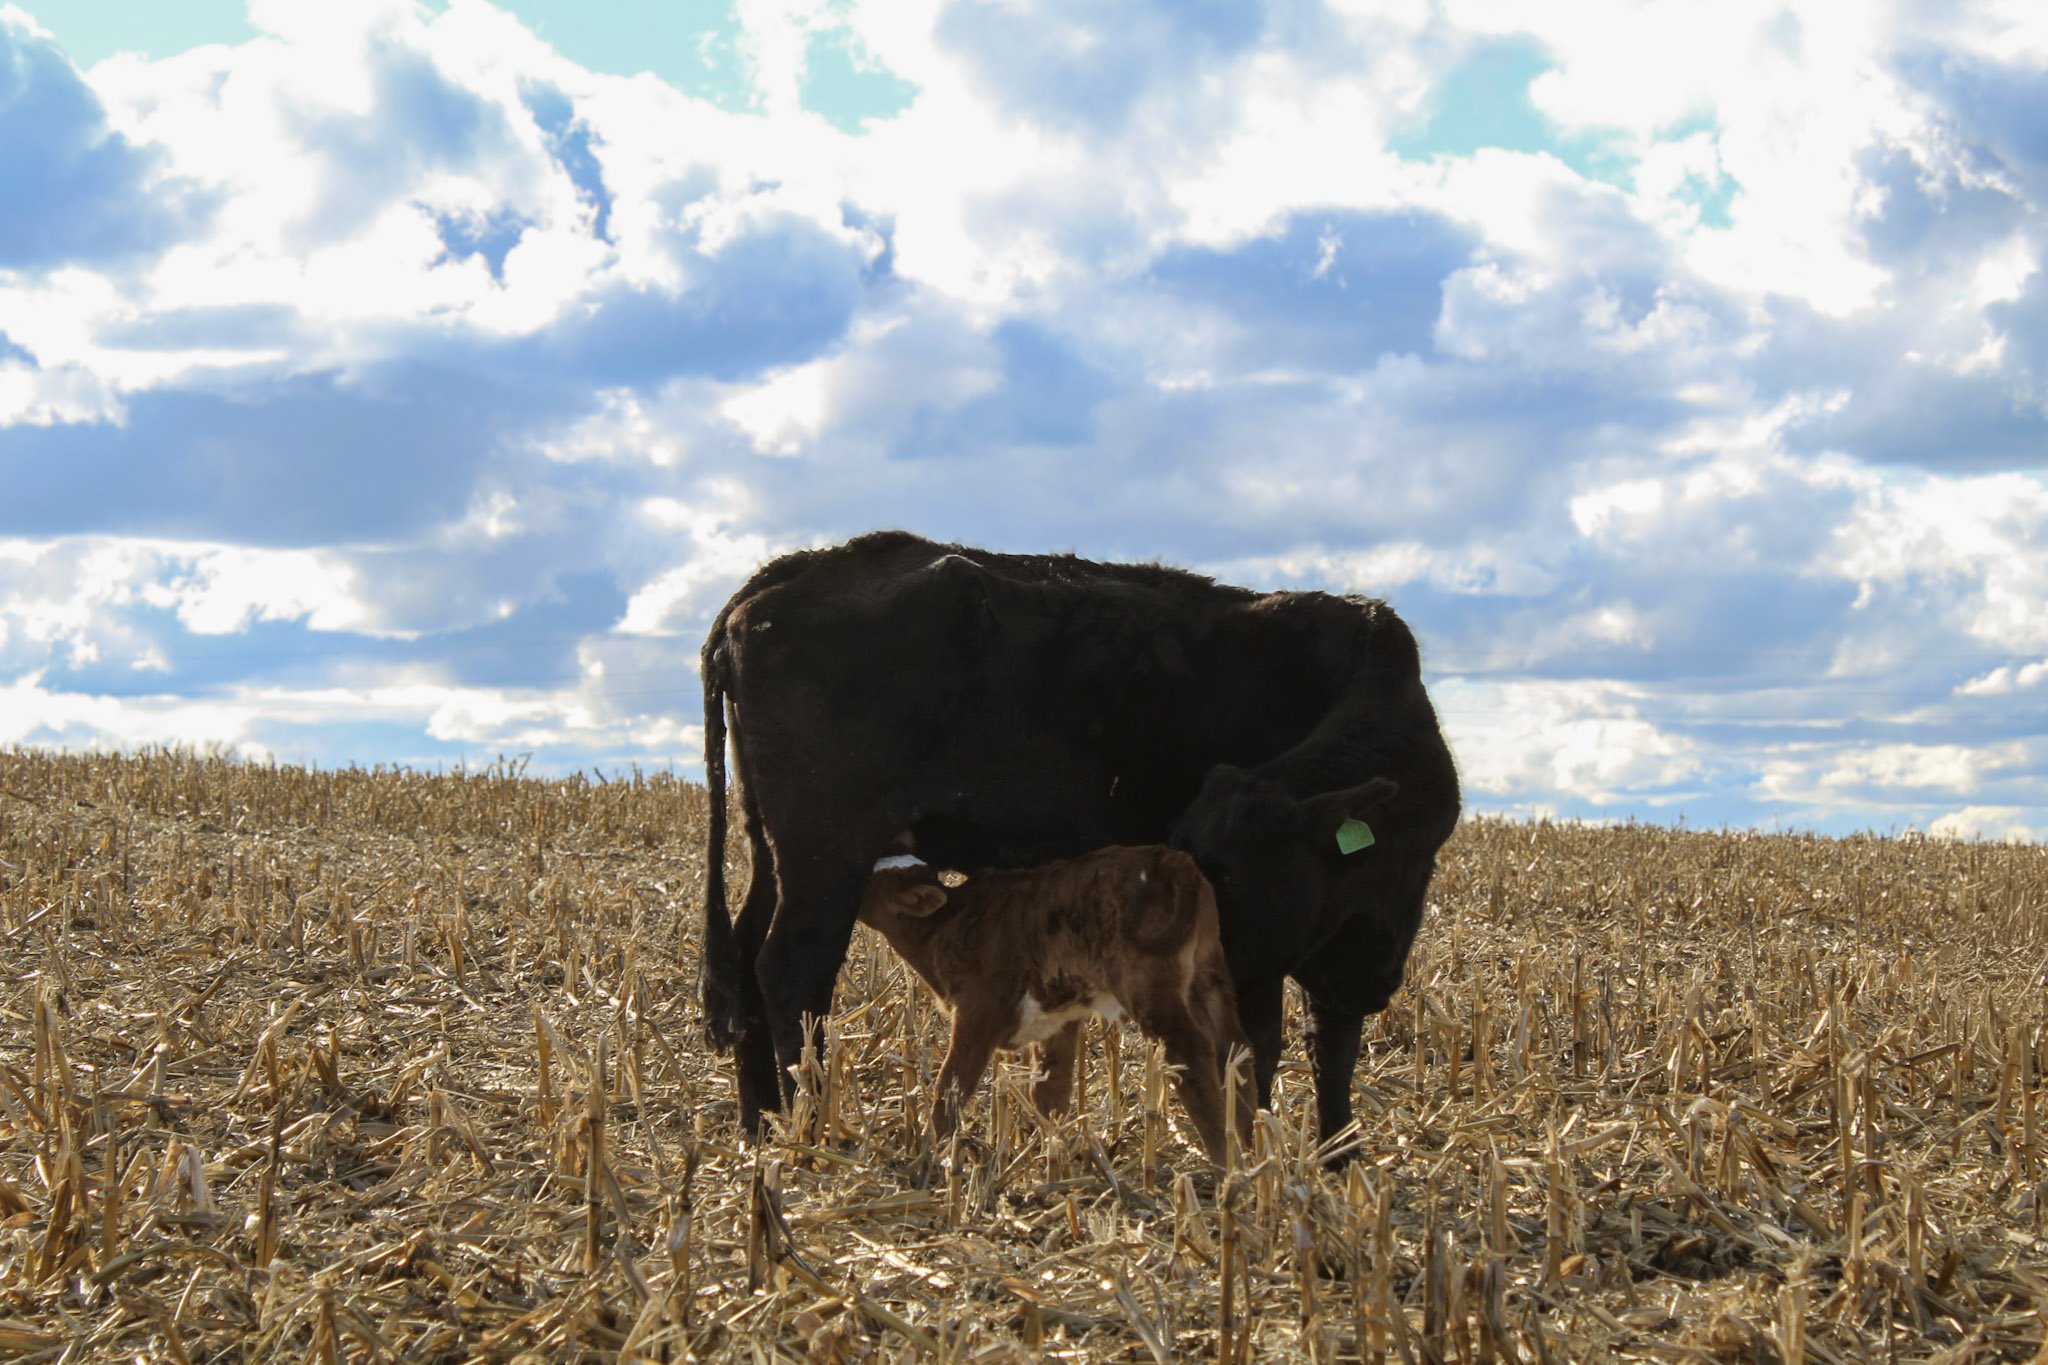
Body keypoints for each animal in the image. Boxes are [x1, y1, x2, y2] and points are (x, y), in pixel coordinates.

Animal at [857, 843, 1262, 1165]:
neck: (945, 926)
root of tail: (1173, 863)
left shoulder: (979, 1009)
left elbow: (951, 1087)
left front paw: (928, 1158)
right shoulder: (1057, 1016)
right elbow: (1050, 1090)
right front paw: (1048, 1156)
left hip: (1151, 986)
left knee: (1189, 1055)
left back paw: (1227, 1164)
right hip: (1208, 974)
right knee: (1234, 1048)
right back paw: (1249, 1144)